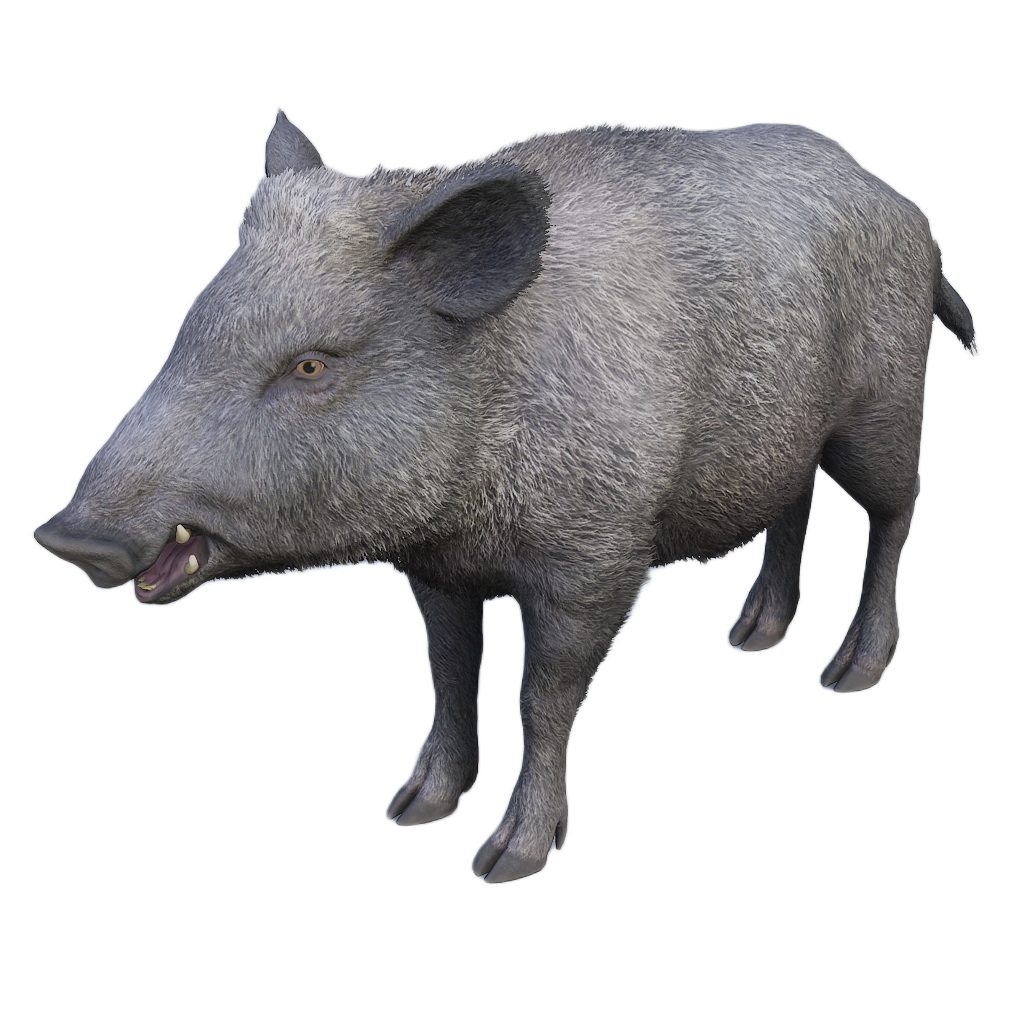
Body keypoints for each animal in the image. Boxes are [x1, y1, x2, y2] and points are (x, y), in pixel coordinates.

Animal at [32, 108, 979, 883]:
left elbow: (542, 695)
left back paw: (849, 676)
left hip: (887, 405)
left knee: (895, 513)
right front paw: (409, 812)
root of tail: (906, 206)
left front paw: (505, 862)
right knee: (794, 506)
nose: (67, 536)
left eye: (310, 365)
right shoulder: (435, 567)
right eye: (191, 328)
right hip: (783, 437)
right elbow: (449, 671)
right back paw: (750, 640)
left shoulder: (599, 557)